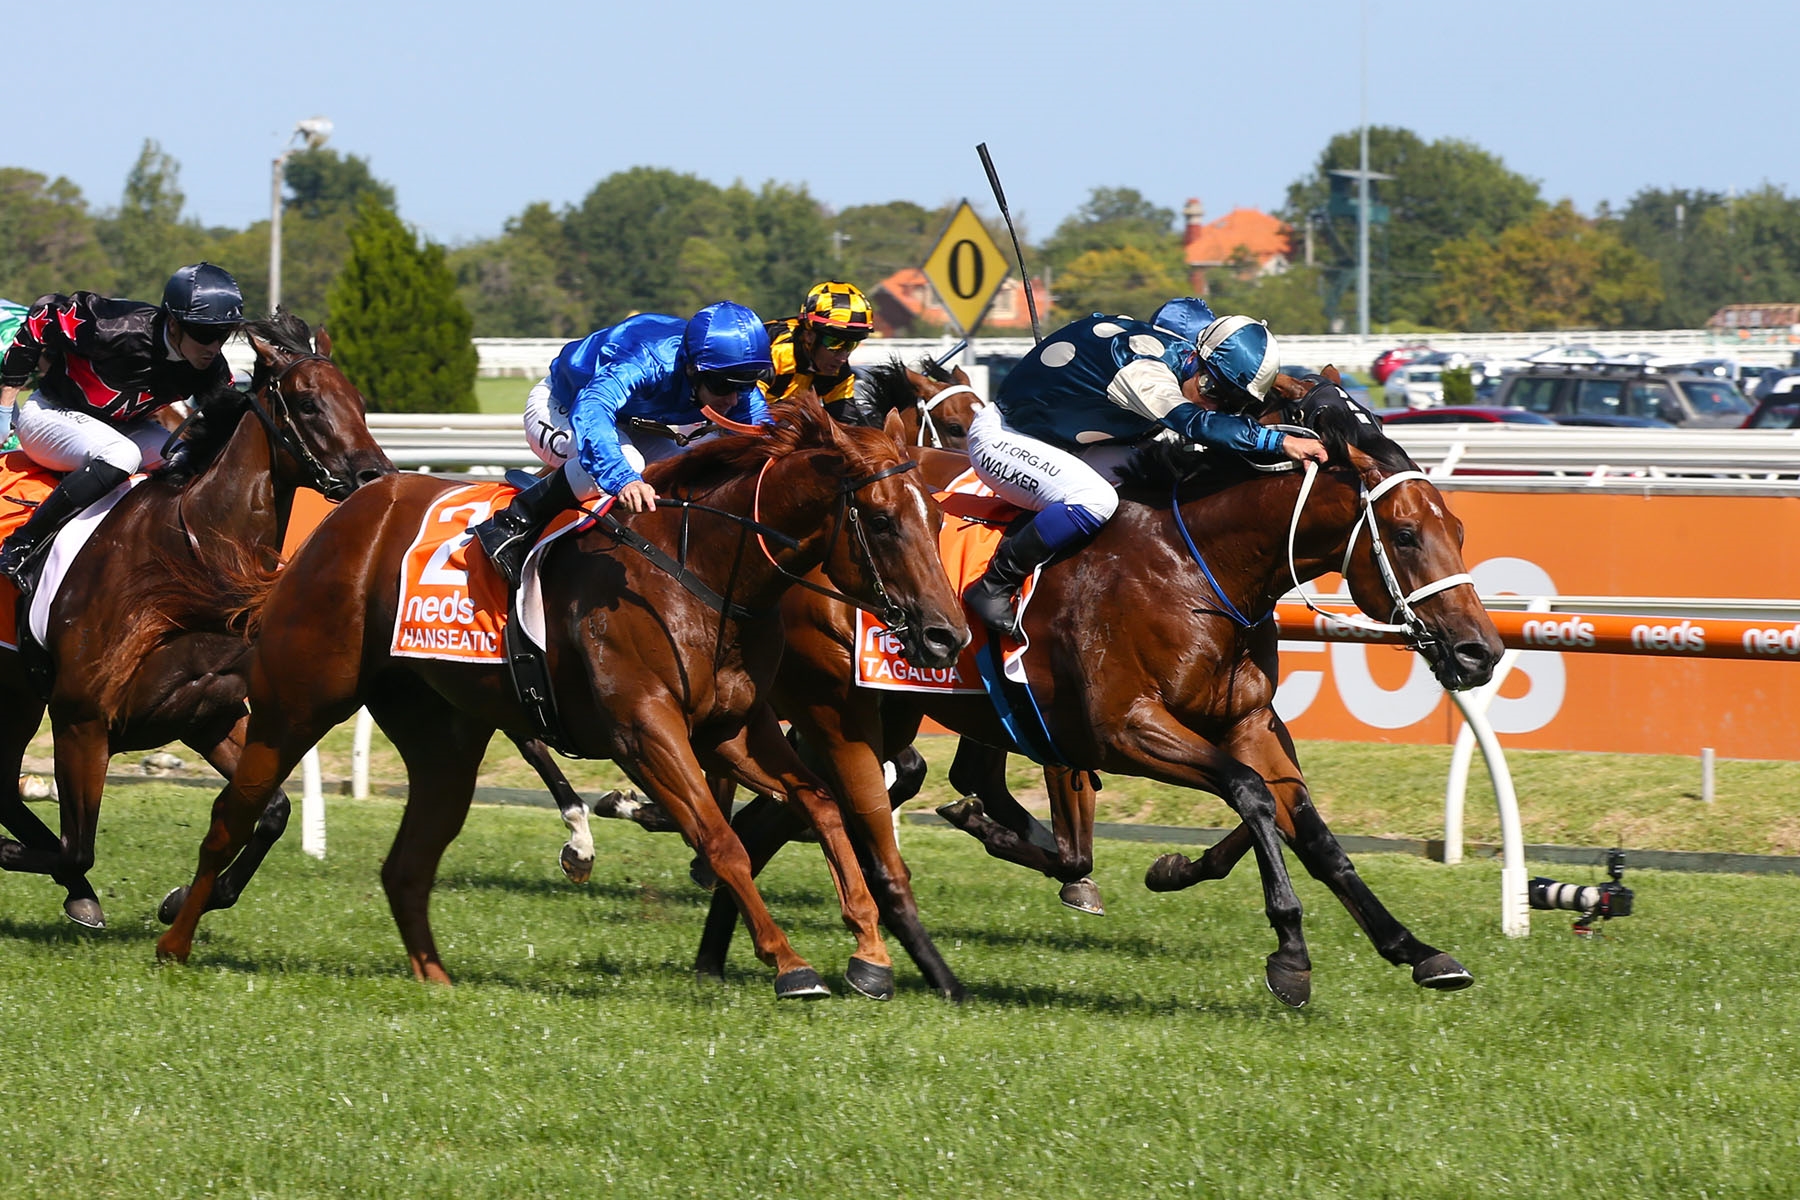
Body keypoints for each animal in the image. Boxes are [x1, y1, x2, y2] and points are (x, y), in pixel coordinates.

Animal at [0, 312, 394, 927]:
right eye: (308, 403)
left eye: (356, 400)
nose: (375, 477)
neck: (186, 562)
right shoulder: (81, 718)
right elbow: (75, 847)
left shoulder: (207, 713)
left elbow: (272, 811)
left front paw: (185, 899)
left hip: (18, 692)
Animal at [153, 395, 970, 1000]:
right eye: (884, 521)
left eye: (937, 517)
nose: (945, 635)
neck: (702, 571)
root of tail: (349, 514)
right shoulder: (646, 732)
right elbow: (723, 840)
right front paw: (791, 963)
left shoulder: (732, 728)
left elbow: (824, 808)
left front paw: (869, 953)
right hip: (297, 699)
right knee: (233, 815)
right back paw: (174, 937)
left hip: (443, 738)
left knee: (408, 861)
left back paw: (436, 979)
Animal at [683, 377, 1504, 1006]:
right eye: (1405, 534)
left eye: (1461, 528)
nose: (1482, 650)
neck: (1196, 568)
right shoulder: (1122, 729)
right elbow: (1251, 796)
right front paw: (1291, 956)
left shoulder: (1247, 721)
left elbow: (1314, 831)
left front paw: (1415, 948)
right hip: (840, 705)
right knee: (793, 811)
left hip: (887, 709)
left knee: (776, 817)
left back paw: (723, 956)